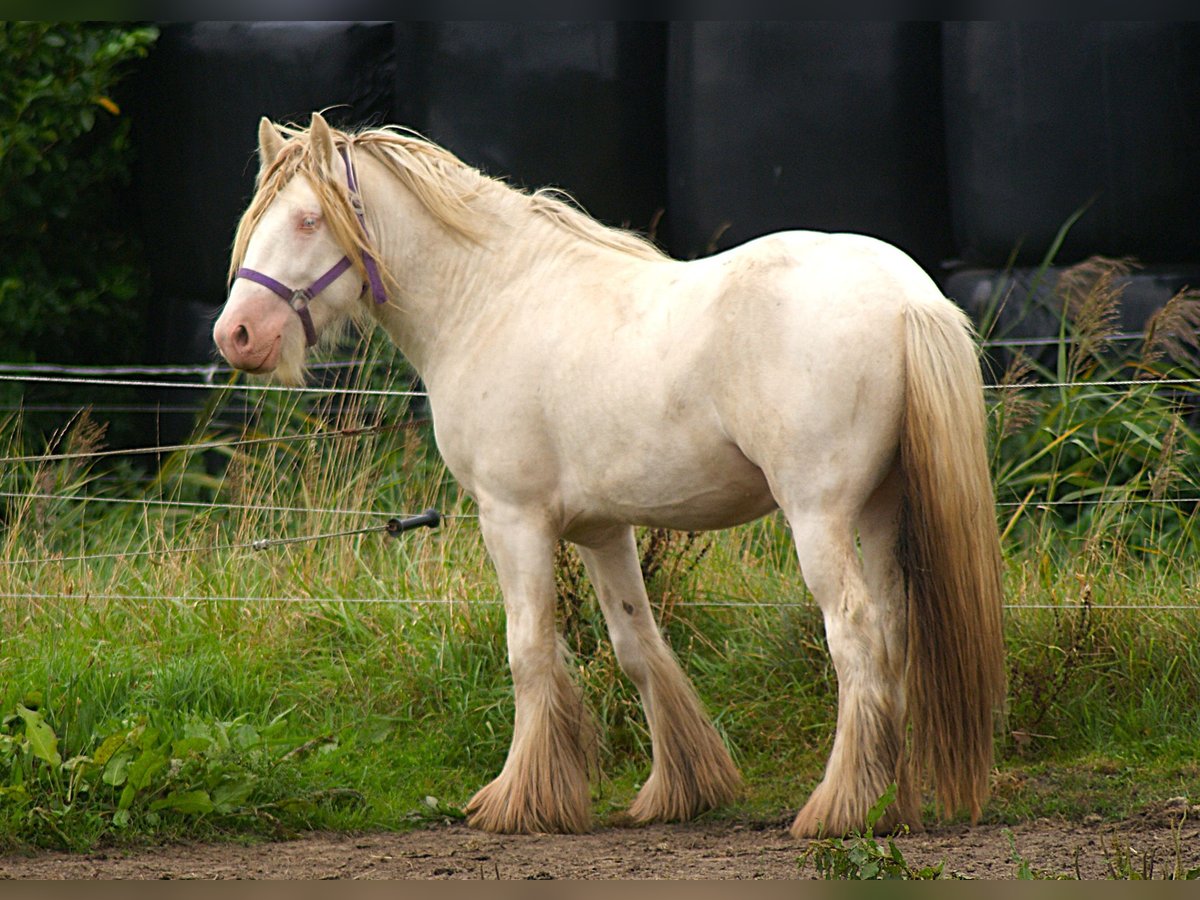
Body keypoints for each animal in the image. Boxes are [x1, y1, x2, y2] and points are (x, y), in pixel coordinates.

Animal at [208, 111, 1003, 840]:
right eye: (256, 219)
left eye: (309, 219)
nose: (236, 335)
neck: (489, 298)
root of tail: (908, 296)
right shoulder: (602, 529)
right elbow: (637, 648)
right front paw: (680, 790)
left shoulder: (513, 519)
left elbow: (529, 651)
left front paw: (520, 801)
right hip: (882, 511)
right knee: (893, 636)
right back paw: (890, 803)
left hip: (819, 516)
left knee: (856, 636)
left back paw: (837, 809)